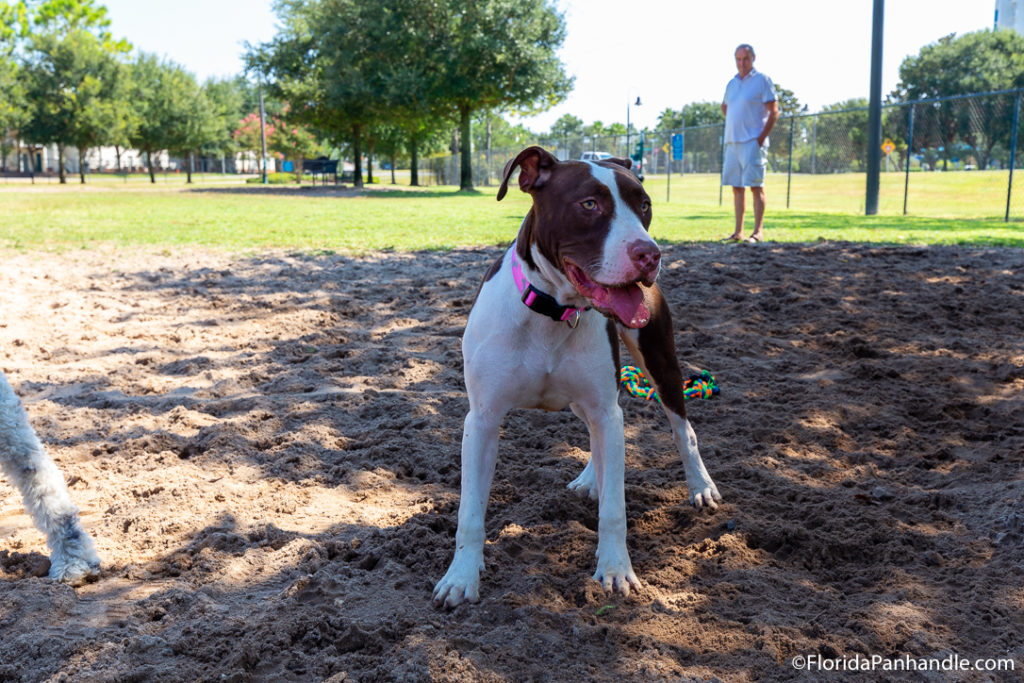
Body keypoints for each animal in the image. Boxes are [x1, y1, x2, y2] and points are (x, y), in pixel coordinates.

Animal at [432, 147, 720, 606]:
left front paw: (616, 569)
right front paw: (461, 577)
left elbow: (615, 510)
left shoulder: (604, 407)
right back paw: (591, 477)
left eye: (644, 205)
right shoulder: (482, 420)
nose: (650, 254)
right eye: (589, 205)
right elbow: (470, 512)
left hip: (660, 363)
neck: (553, 311)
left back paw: (700, 486)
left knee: (681, 431)